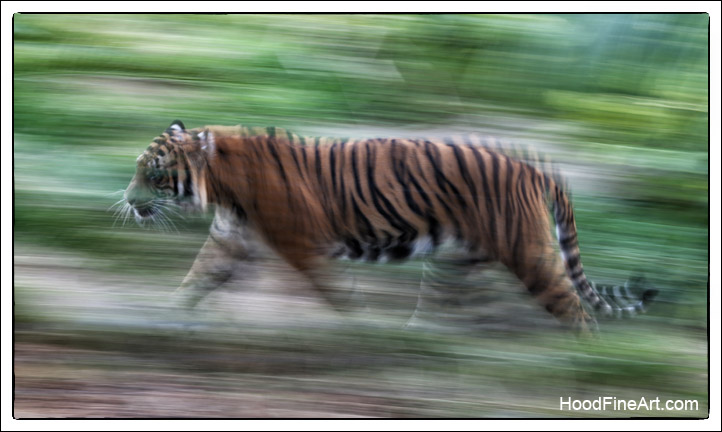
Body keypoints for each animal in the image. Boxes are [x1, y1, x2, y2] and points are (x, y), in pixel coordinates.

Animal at [121, 120, 657, 335]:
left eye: (154, 174)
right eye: (137, 170)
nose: (127, 201)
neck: (221, 186)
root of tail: (535, 167)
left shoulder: (301, 245)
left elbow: (338, 293)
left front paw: (361, 326)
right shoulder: (230, 240)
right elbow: (195, 280)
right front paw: (162, 315)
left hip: (529, 254)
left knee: (575, 311)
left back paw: (587, 360)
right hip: (456, 259)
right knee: (443, 307)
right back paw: (414, 339)